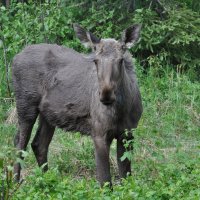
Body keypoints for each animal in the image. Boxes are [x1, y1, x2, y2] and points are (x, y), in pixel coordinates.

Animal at [12, 24, 142, 186]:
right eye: (95, 61)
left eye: (120, 60)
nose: (106, 94)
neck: (122, 110)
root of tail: (15, 57)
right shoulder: (98, 133)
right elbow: (105, 182)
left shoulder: (128, 133)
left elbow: (126, 177)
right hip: (26, 106)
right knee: (19, 143)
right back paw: (15, 182)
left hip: (48, 115)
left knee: (38, 144)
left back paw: (49, 181)